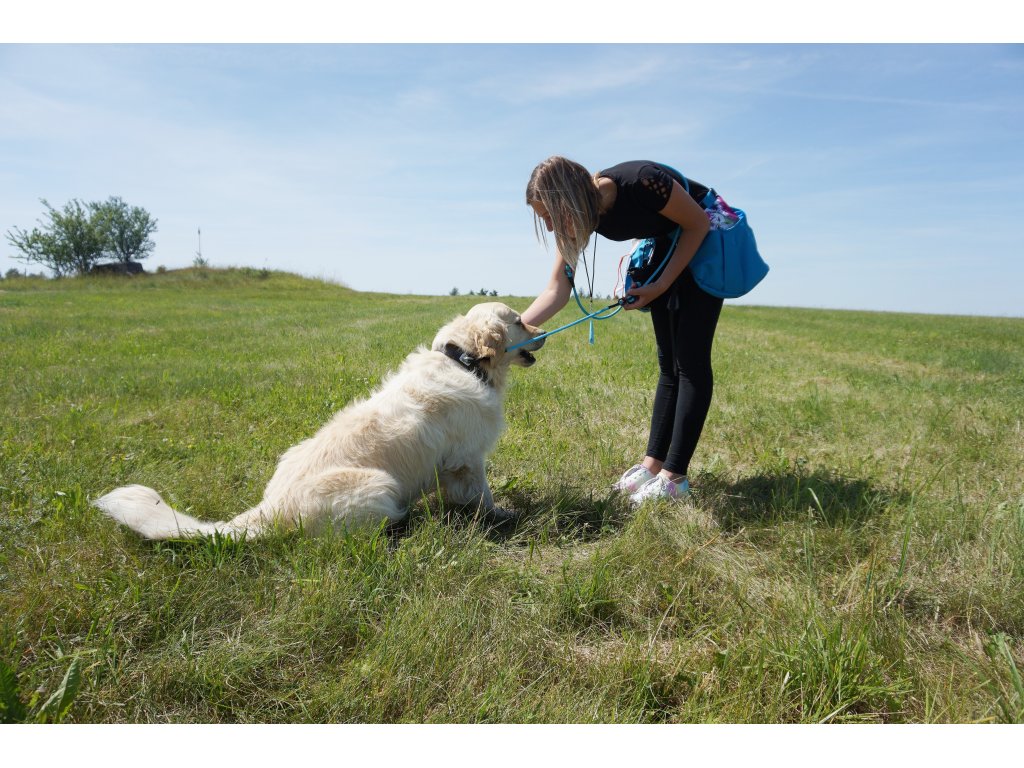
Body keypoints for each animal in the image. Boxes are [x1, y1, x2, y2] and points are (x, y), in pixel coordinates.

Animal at [92, 303, 548, 540]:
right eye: (519, 320)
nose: (544, 332)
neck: (465, 361)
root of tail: (268, 509)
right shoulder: (469, 458)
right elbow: (484, 495)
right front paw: (501, 515)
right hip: (379, 486)